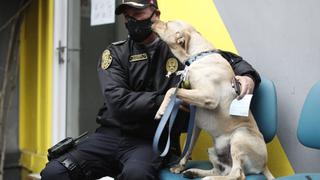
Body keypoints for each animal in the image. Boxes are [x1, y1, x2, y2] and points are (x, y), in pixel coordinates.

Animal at [151, 20, 274, 180]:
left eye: (166, 24)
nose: (152, 21)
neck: (199, 56)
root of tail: (264, 165)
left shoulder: (209, 96)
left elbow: (172, 90)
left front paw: (161, 111)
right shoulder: (195, 124)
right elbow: (187, 148)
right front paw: (180, 166)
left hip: (239, 137)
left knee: (237, 174)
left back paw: (209, 178)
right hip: (213, 151)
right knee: (222, 170)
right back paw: (194, 172)